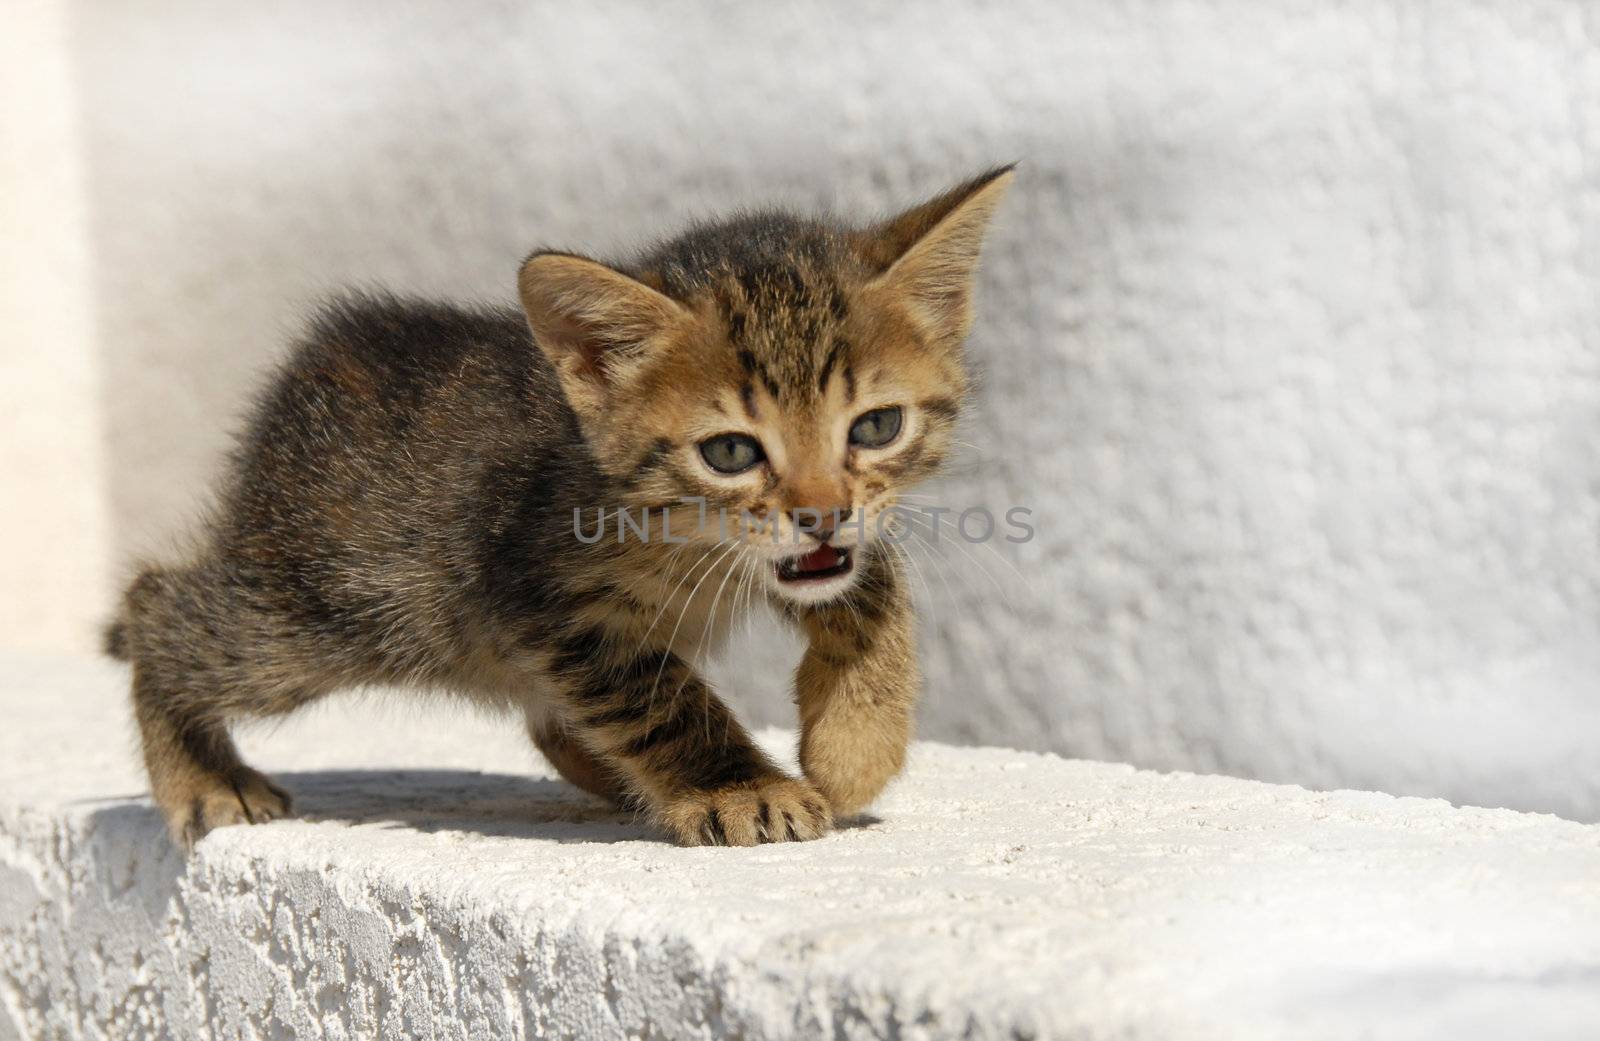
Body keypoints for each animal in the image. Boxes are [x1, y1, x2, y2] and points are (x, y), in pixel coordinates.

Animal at [106, 164, 1011, 844]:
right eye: (730, 451)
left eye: (877, 425)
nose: (821, 511)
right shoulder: (551, 602)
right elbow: (664, 702)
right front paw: (740, 787)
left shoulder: (815, 550)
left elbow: (871, 585)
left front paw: (855, 746)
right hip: (321, 614)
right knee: (161, 606)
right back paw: (202, 776)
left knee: (551, 722)